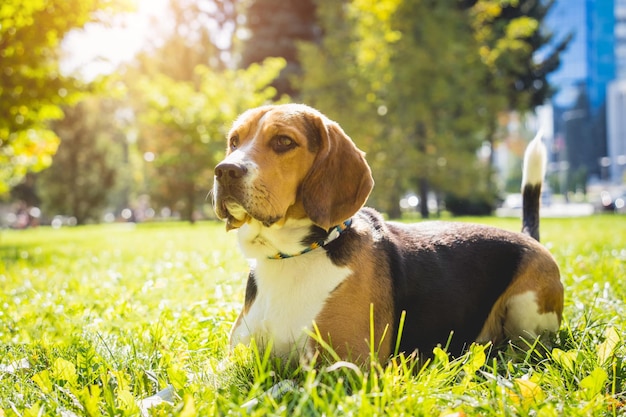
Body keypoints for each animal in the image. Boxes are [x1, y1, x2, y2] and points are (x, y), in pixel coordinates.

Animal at [212, 103, 564, 360]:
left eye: (284, 141)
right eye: (234, 142)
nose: (224, 170)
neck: (290, 256)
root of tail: (527, 237)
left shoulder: (345, 366)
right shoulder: (236, 362)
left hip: (527, 310)